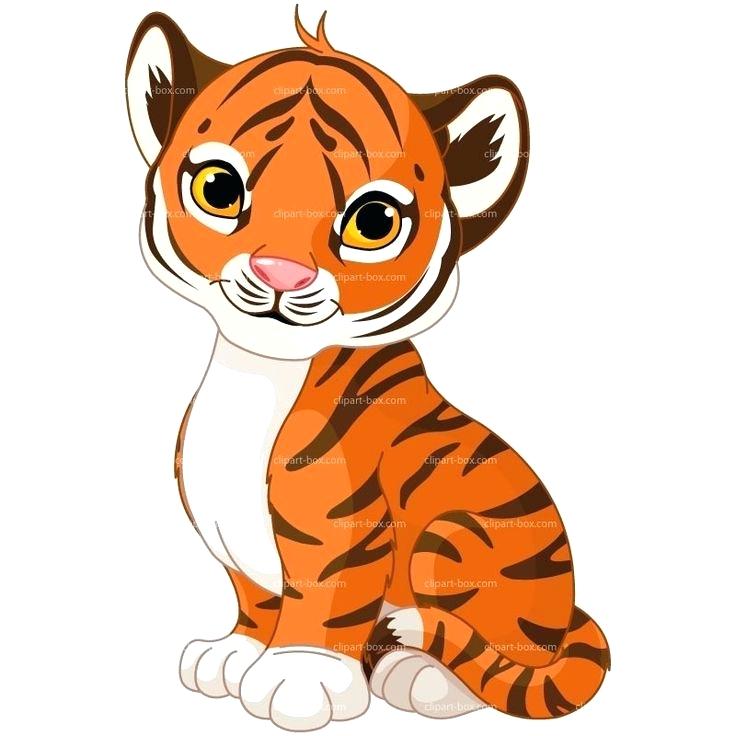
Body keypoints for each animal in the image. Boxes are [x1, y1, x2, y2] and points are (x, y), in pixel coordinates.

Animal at [125, 9, 610, 731]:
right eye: (219, 189)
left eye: (373, 221)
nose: (281, 274)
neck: (259, 372)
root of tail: (568, 611)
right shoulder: (229, 537)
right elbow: (255, 598)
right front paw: (235, 655)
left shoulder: (341, 525)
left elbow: (324, 602)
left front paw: (298, 679)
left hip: (453, 537)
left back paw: (423, 676)